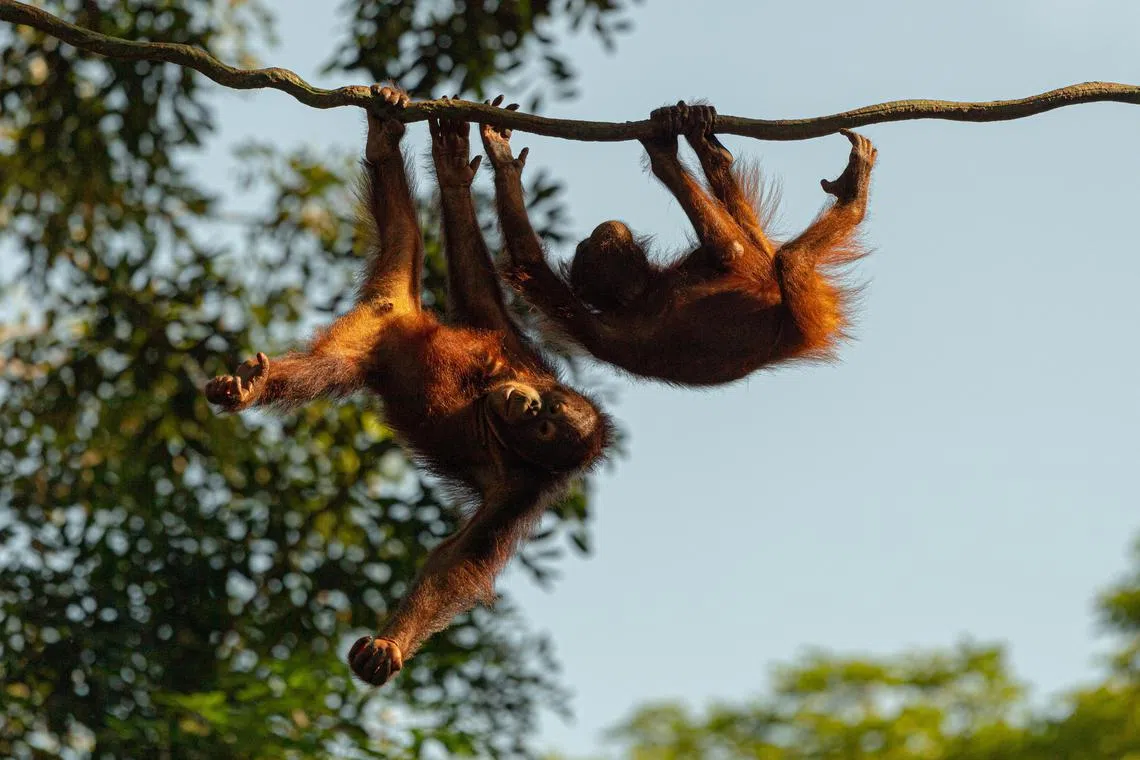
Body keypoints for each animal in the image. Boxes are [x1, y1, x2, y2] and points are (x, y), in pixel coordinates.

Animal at [204, 86, 612, 687]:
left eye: (543, 428)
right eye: (547, 406)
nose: (522, 400)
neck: (495, 407)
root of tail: (396, 310)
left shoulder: (519, 495)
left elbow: (458, 562)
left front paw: (388, 645)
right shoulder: (516, 349)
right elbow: (477, 292)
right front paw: (462, 167)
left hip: (360, 344)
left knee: (320, 371)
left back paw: (252, 385)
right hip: (397, 281)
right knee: (403, 224)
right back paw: (387, 137)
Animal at [492, 101, 877, 386]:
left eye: (585, 246)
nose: (587, 238)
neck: (642, 294)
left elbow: (527, 264)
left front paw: (502, 158)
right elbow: (732, 250)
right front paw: (662, 152)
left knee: (768, 256)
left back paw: (714, 154)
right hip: (808, 315)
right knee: (787, 259)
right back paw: (852, 195)